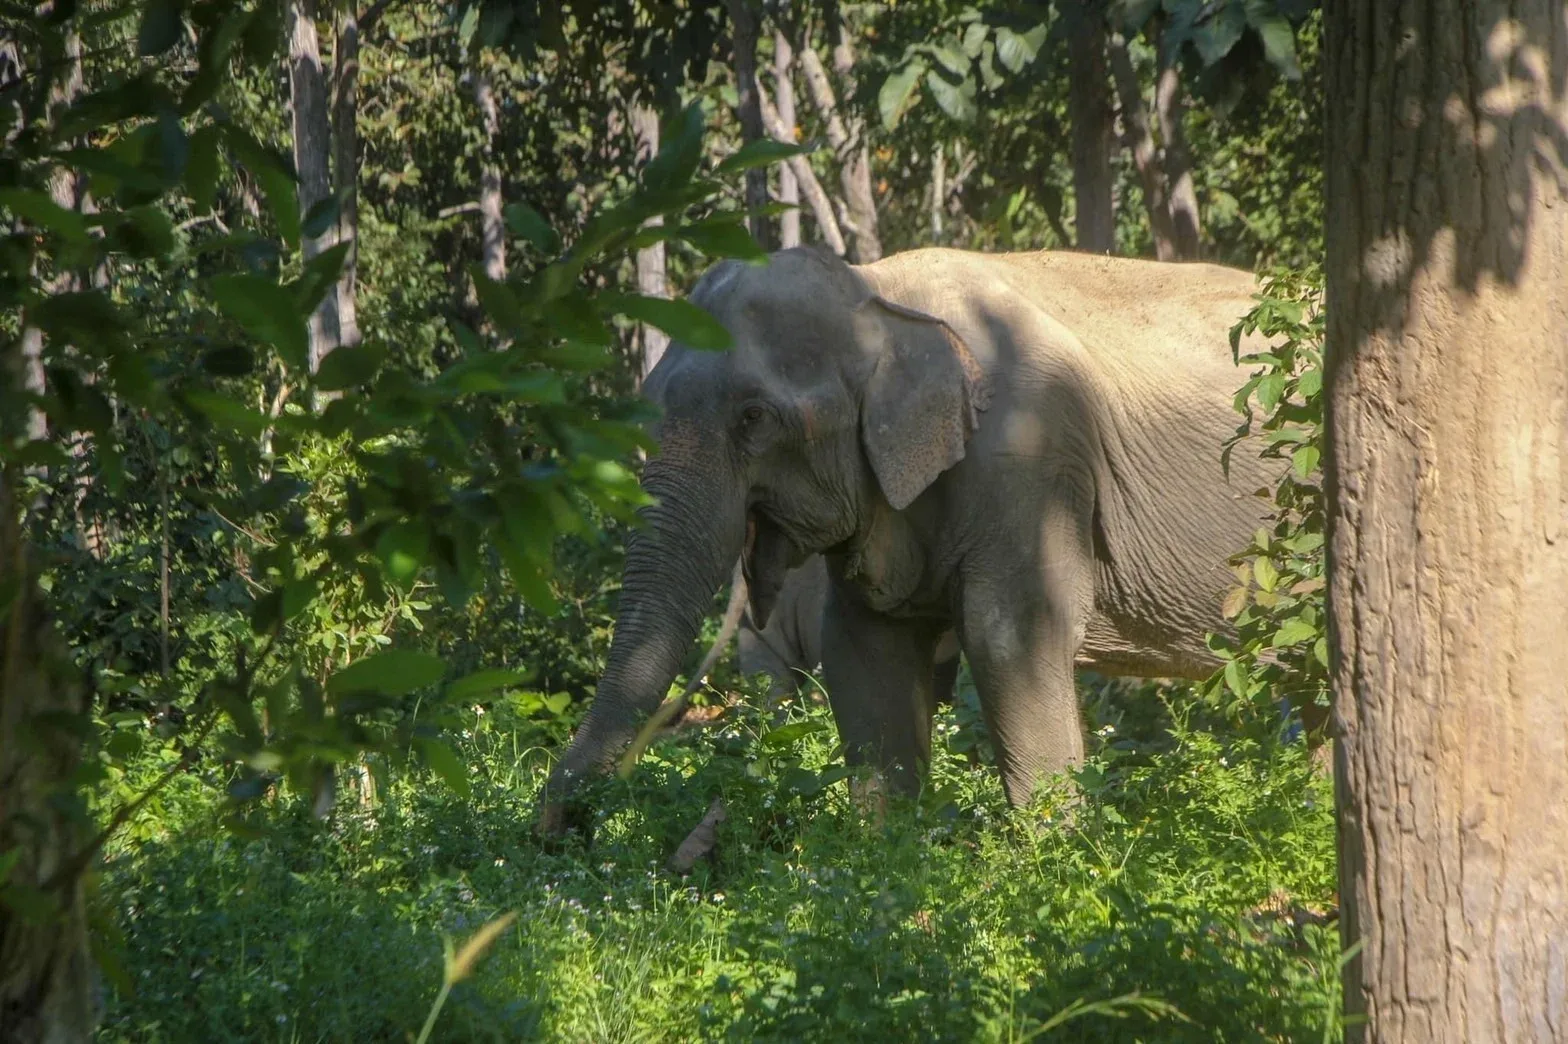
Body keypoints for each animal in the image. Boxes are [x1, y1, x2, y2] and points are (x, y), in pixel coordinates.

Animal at [538, 245, 1278, 834]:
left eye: (754, 418)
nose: (559, 825)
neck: (878, 295)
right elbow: (864, 649)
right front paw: (885, 860)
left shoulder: (1029, 458)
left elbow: (1008, 635)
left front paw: (1054, 865)